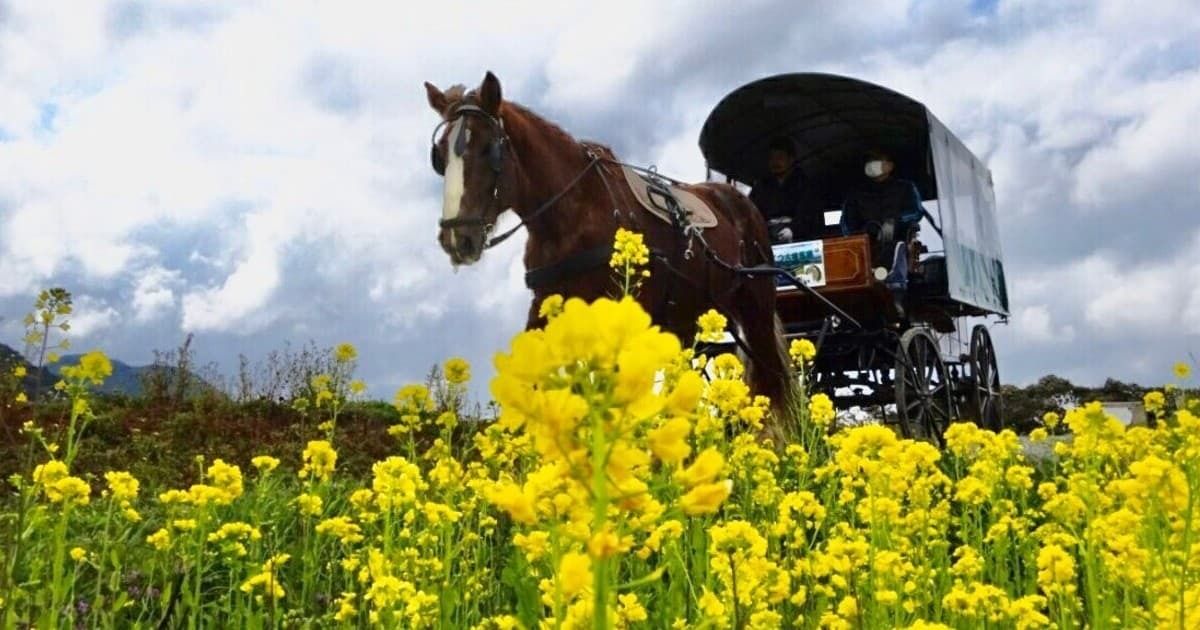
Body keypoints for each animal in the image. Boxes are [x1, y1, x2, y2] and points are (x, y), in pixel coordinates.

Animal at [424, 72, 795, 435]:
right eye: (440, 157)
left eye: (489, 149)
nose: (457, 237)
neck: (572, 214)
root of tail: (739, 200)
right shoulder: (546, 306)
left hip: (756, 306)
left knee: (771, 379)